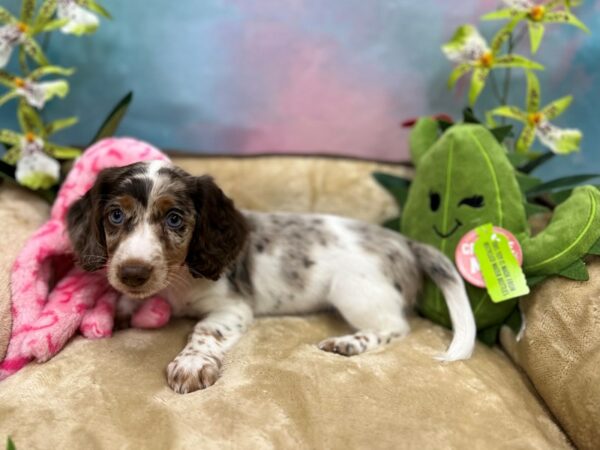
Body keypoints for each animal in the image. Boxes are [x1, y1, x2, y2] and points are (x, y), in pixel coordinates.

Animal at [68, 162, 476, 394]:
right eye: (115, 216)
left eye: (174, 219)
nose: (132, 273)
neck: (177, 282)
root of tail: (407, 242)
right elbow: (123, 303)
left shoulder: (232, 308)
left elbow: (203, 331)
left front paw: (191, 364)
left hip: (356, 292)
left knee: (395, 327)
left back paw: (350, 342)